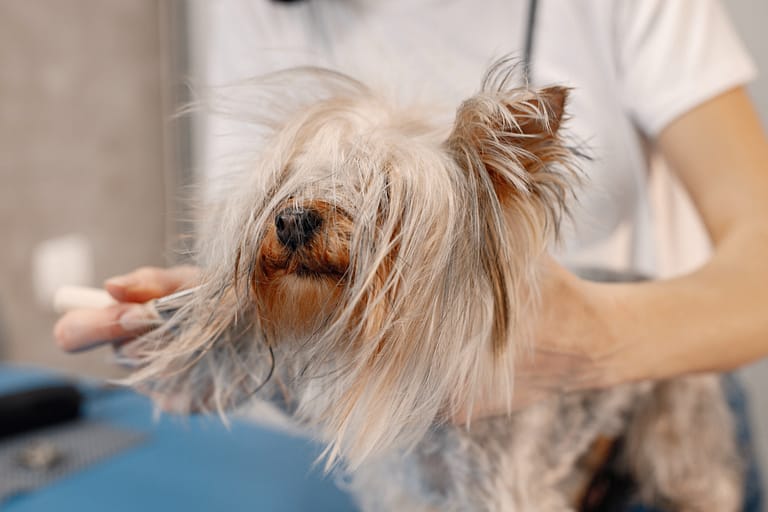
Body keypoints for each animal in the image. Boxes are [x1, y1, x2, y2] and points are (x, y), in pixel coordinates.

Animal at [124, 59, 744, 508]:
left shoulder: (498, 491)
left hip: (680, 429)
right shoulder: (409, 490)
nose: (293, 220)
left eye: (387, 197)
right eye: (289, 185)